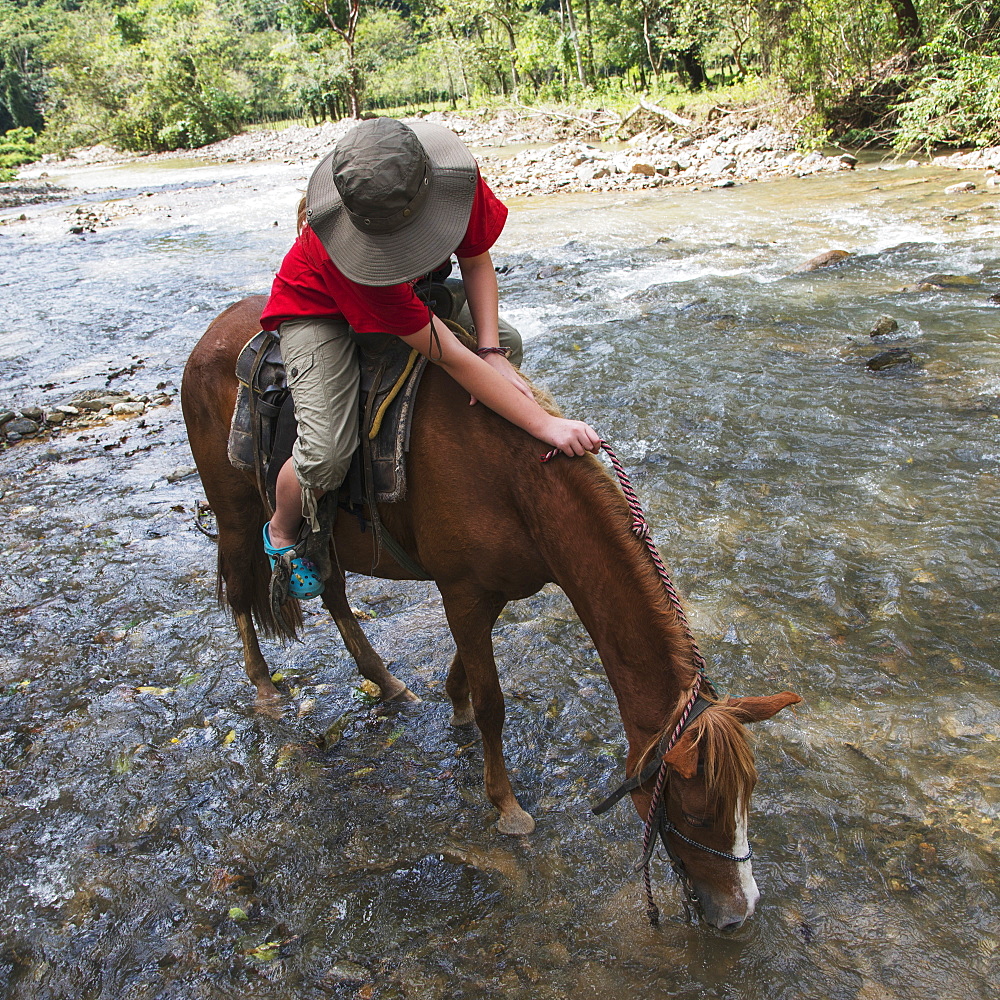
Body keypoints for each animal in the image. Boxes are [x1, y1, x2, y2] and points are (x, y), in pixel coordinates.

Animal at [182, 294, 804, 928]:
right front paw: (506, 806)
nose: (741, 911)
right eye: (698, 813)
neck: (514, 480)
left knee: (332, 594)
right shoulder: (460, 590)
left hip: (324, 534)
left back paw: (388, 683)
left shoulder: (496, 588)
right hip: (235, 511)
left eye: (748, 800)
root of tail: (211, 335)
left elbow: (466, 667)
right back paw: (265, 688)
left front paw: (451, 702)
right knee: (241, 591)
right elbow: (492, 704)